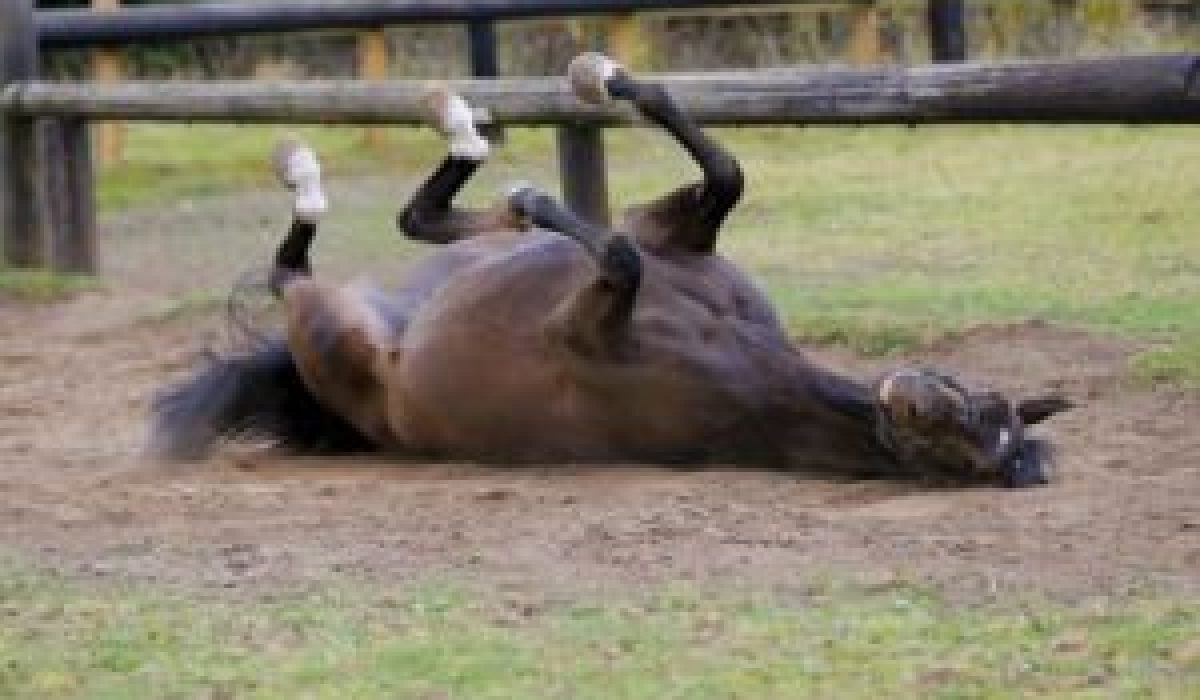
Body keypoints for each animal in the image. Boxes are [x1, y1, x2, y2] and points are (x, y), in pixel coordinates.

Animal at [151, 53, 1071, 487]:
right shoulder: (676, 232)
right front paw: (599, 77)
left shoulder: (588, 321)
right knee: (418, 220)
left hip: (332, 329)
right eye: (978, 401)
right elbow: (721, 171)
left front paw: (534, 191)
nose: (912, 396)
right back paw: (457, 133)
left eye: (981, 453)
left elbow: (619, 253)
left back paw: (325, 170)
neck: (750, 367)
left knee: (292, 271)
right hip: (427, 276)